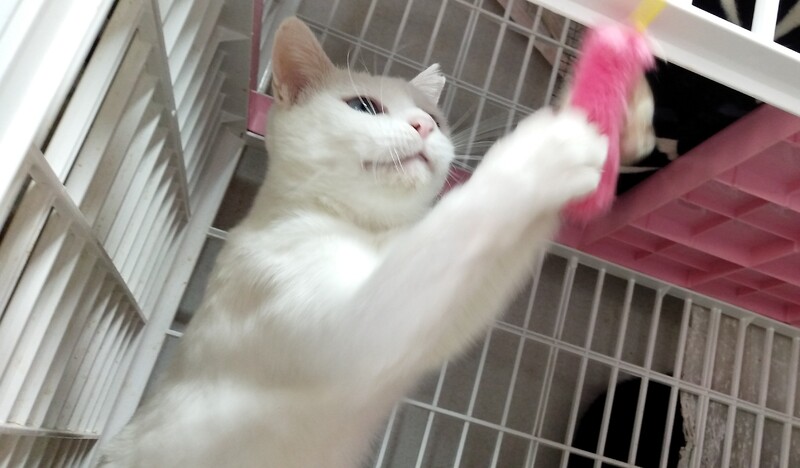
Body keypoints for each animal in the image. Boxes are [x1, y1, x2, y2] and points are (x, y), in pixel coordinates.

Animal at [96, 17, 607, 468]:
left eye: (436, 118)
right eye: (364, 107)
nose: (424, 125)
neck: (366, 228)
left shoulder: (434, 317)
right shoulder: (341, 321)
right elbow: (457, 227)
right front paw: (546, 151)